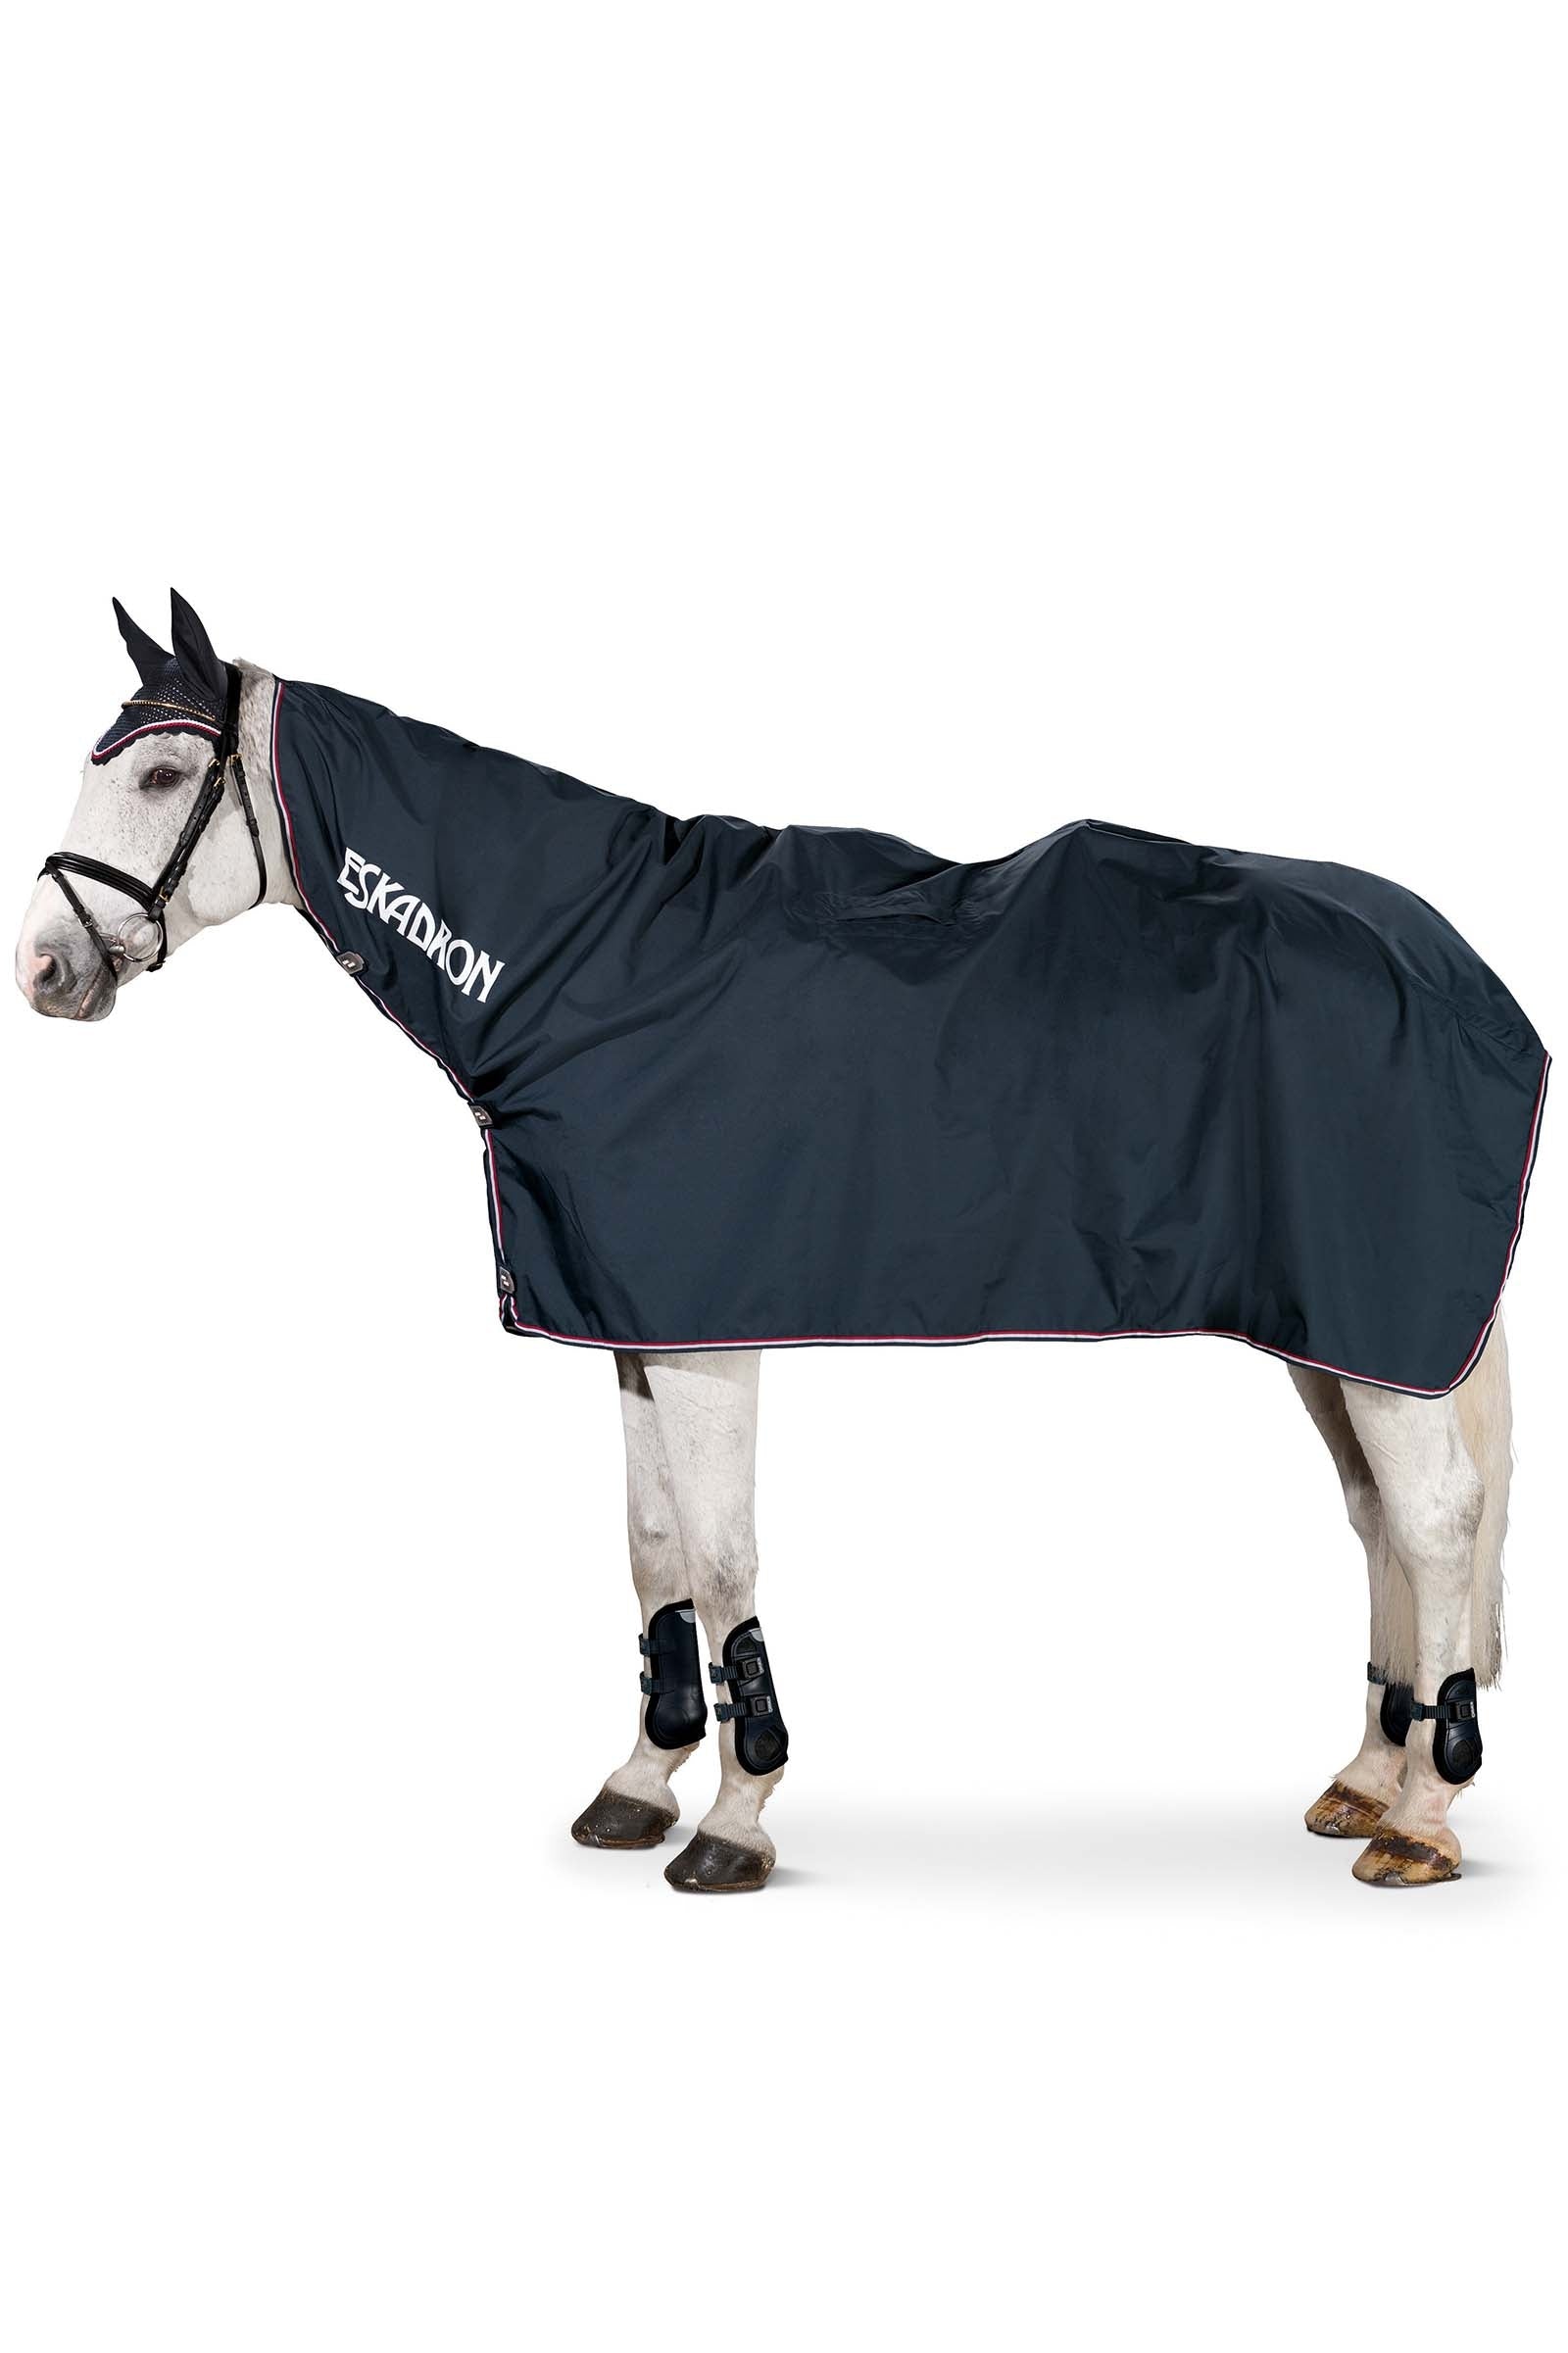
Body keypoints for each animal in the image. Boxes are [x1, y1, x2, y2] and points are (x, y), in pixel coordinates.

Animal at [15, 591, 1544, 1892]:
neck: (595, 969)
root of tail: (1457, 967)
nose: (42, 967)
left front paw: (738, 1815)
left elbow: (726, 1557)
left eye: (160, 778)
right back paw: (1366, 1775)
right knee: (1381, 1524)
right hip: (1335, 1334)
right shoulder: (633, 1324)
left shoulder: (711, 1335)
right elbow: (653, 1553)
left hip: (1378, 1323)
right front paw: (640, 1785)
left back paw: (1420, 1819)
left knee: (1437, 1521)